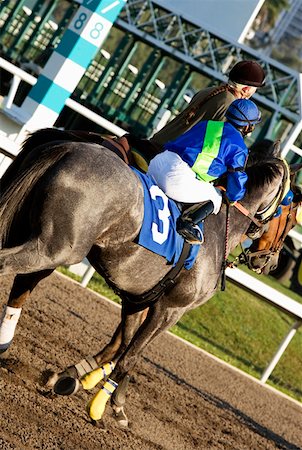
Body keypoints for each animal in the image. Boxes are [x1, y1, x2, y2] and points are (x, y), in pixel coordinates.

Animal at [0, 129, 290, 426]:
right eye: (290, 211)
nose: (271, 262)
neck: (219, 229)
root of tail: (68, 148)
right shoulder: (171, 309)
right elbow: (131, 355)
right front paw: (104, 406)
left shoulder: (135, 299)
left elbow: (121, 346)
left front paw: (72, 379)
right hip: (57, 249)